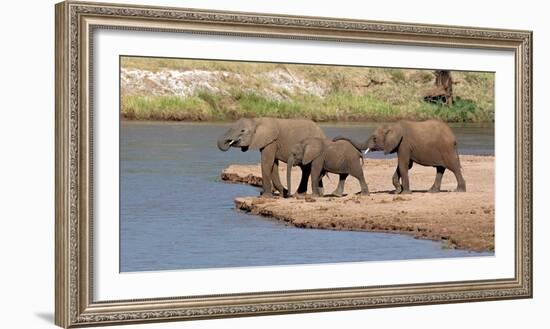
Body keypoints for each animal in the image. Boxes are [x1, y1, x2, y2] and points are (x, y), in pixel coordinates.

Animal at [334, 120, 468, 192]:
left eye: (375, 139)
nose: (334, 139)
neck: (392, 126)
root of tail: (453, 137)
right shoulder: (402, 145)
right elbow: (405, 165)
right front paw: (398, 190)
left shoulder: (404, 143)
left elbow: (404, 165)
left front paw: (405, 192)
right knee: (440, 169)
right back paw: (432, 191)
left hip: (447, 149)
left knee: (454, 167)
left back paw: (459, 190)